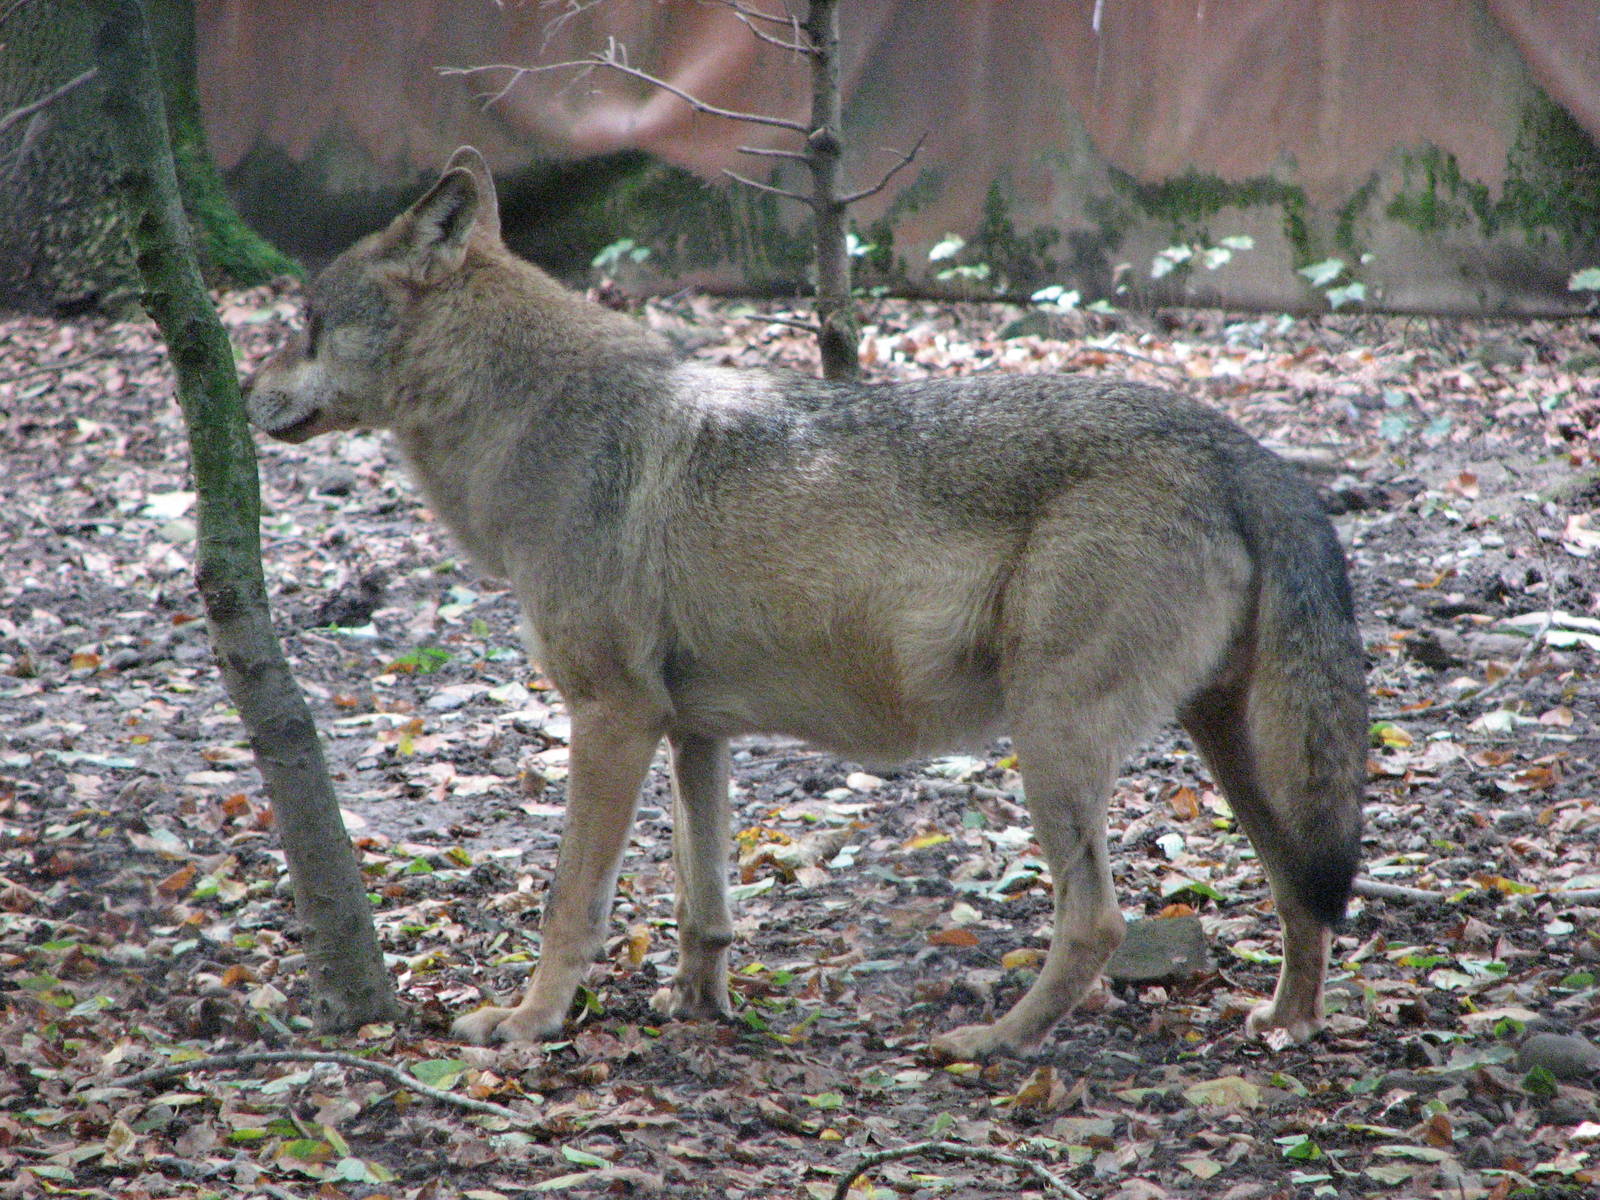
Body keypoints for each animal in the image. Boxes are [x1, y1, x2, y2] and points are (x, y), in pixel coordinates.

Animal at [245, 147, 1366, 1060]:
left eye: (303, 324)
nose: (246, 395)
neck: (537, 423)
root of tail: (1241, 447)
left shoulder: (609, 718)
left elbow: (572, 902)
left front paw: (527, 1024)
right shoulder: (690, 732)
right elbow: (703, 904)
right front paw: (698, 1009)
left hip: (1050, 737)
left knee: (1096, 921)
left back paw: (993, 1043)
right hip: (1227, 745)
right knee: (1299, 889)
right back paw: (1286, 1025)